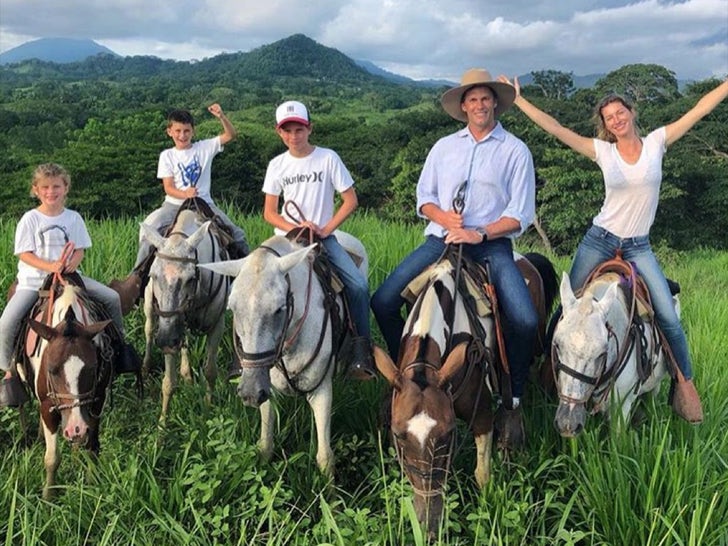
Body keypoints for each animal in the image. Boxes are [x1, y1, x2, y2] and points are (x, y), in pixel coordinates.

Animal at [139, 208, 230, 420]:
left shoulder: (217, 325)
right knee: (149, 331)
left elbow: (210, 371)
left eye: (190, 278)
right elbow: (168, 382)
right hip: (150, 309)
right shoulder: (167, 328)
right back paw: (146, 367)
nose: (165, 340)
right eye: (153, 275)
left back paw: (187, 374)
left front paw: (207, 410)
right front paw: (163, 424)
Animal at [199, 227, 366, 474]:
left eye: (279, 309)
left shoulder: (321, 390)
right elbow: (265, 445)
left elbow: (325, 457)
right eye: (232, 308)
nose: (249, 393)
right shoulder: (267, 387)